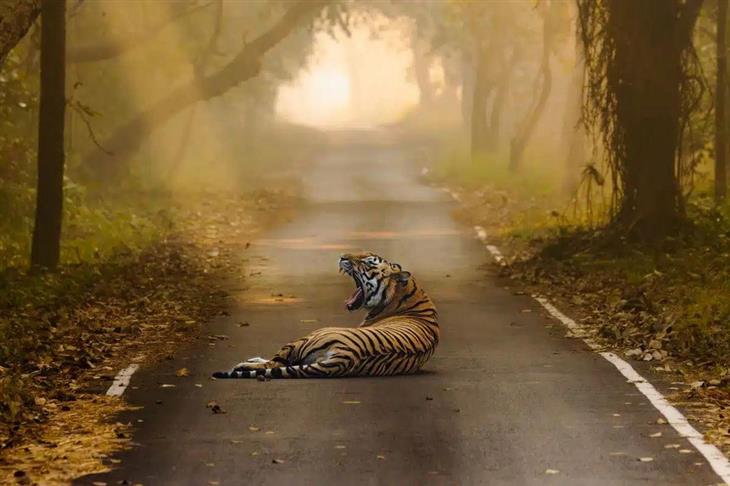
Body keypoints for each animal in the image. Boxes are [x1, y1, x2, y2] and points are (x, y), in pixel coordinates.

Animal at [210, 252, 438, 378]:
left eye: (368, 262)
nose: (342, 256)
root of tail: (347, 357)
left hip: (313, 333)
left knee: (275, 362)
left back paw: (244, 363)